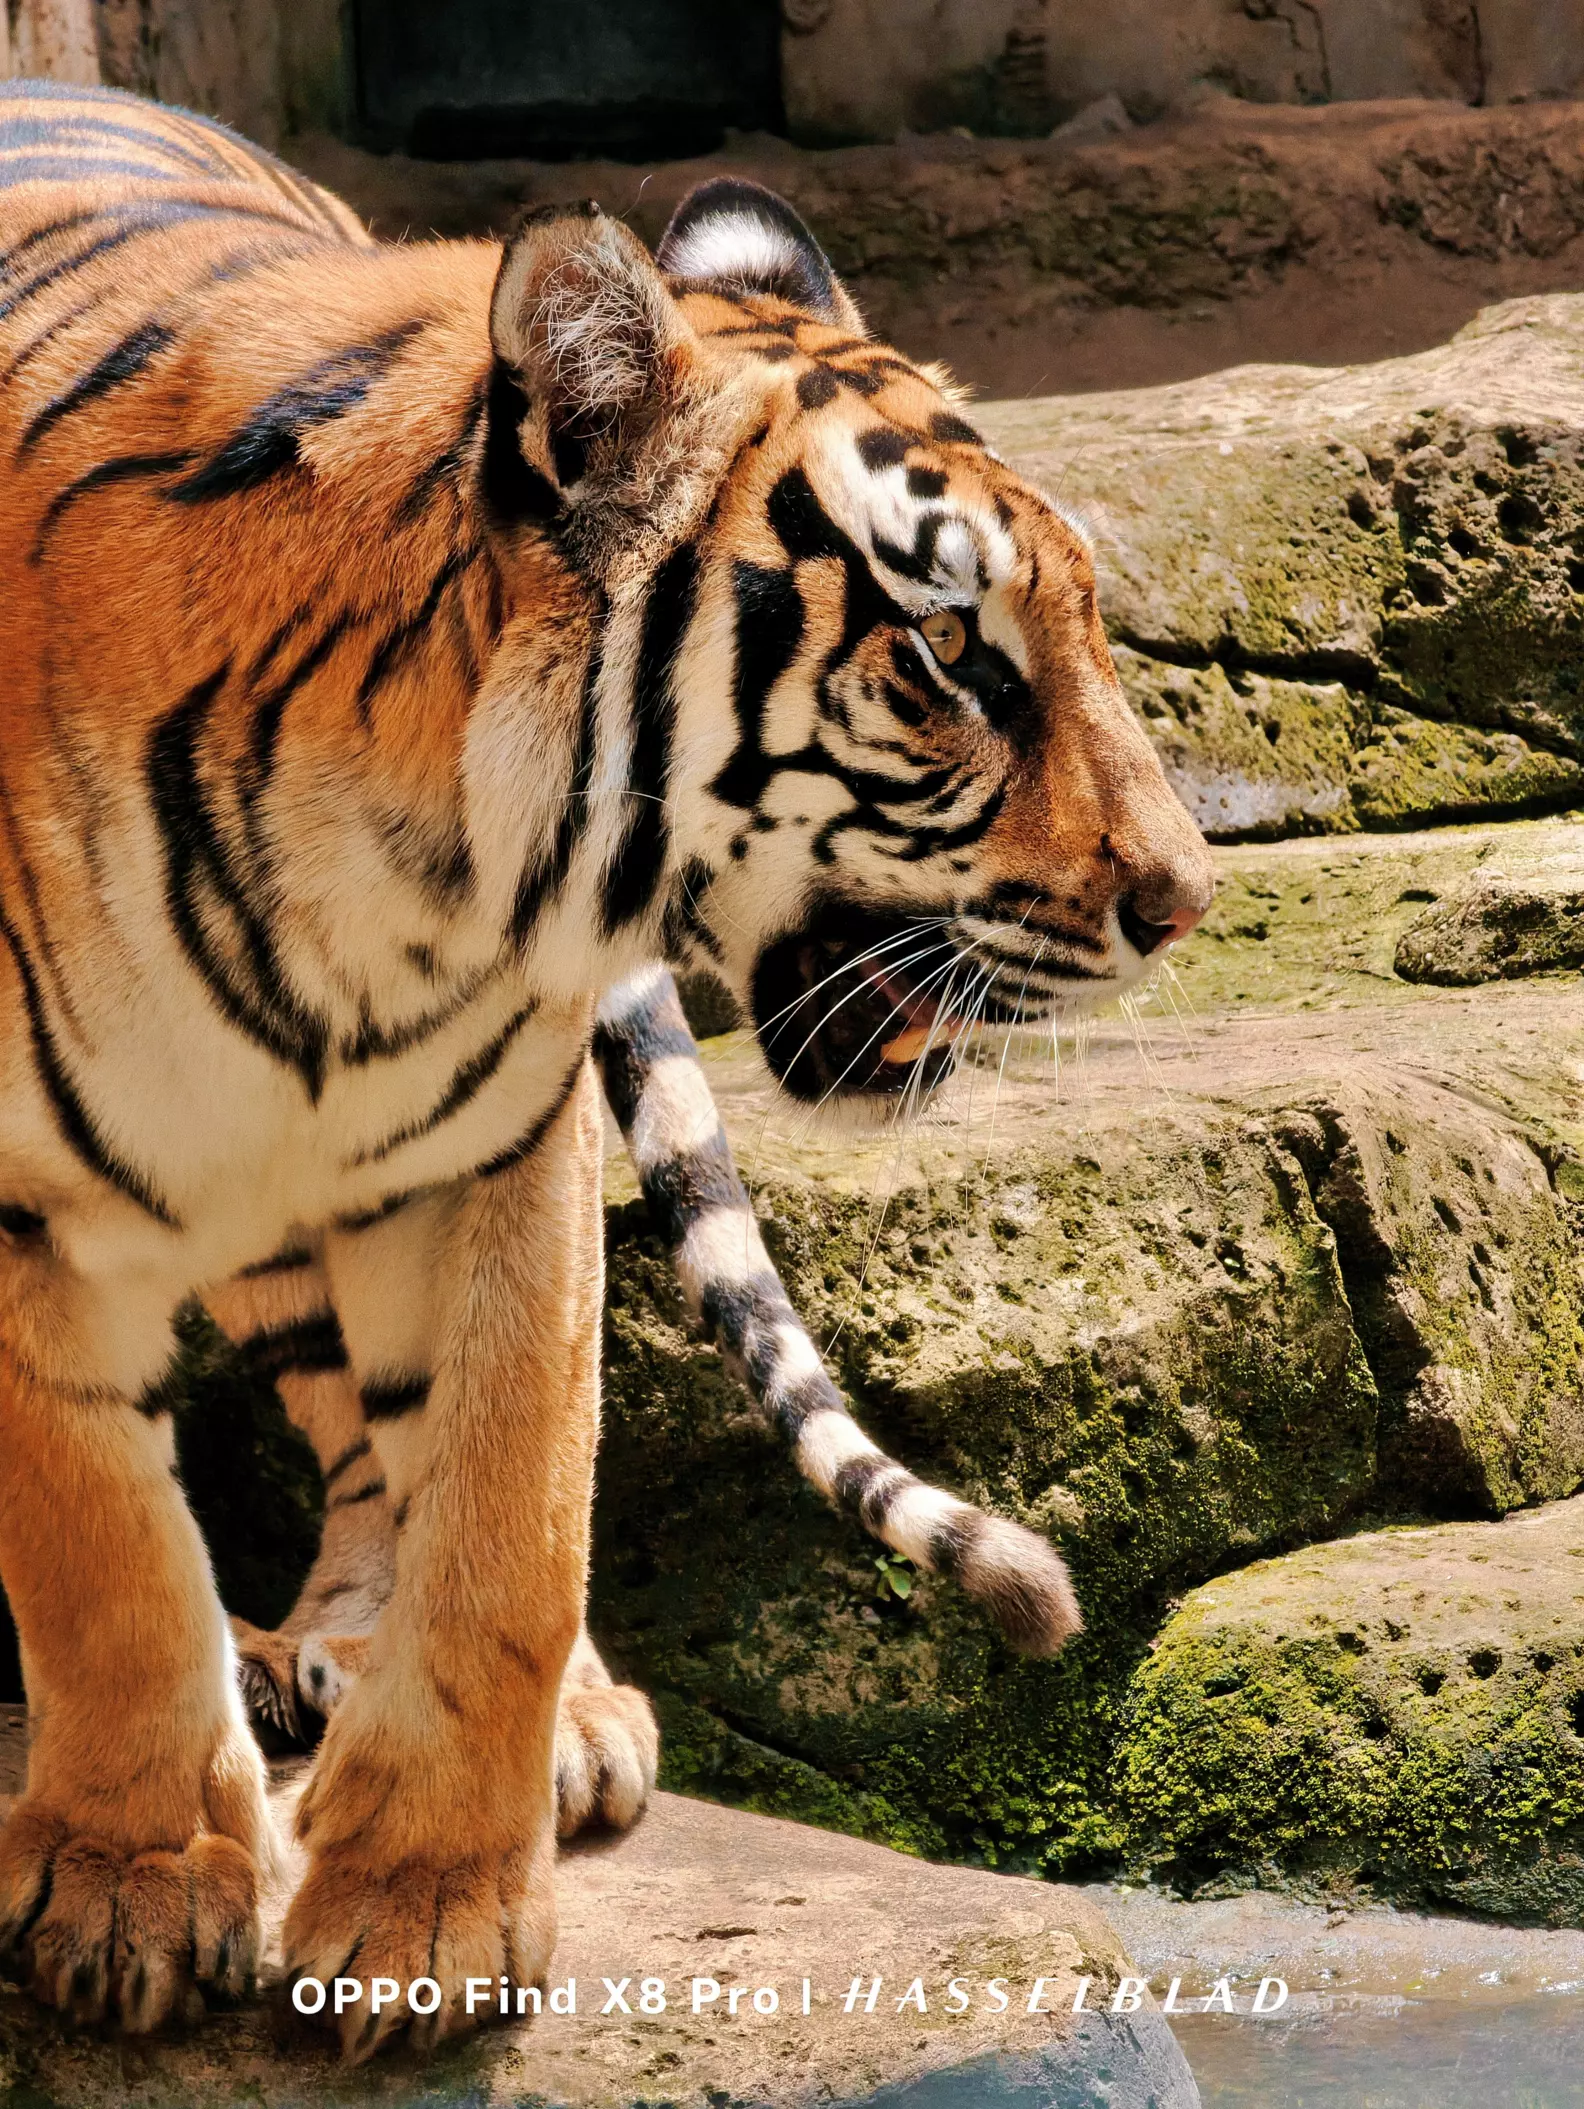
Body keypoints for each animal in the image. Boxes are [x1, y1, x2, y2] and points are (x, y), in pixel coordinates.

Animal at [0, 78, 1214, 2057]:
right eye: (946, 652)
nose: (1184, 900)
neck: (388, 886)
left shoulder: (487, 1144)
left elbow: (507, 1492)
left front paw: (420, 1917)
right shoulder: (30, 1209)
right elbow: (99, 1544)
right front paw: (129, 1881)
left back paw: (474, 1700)